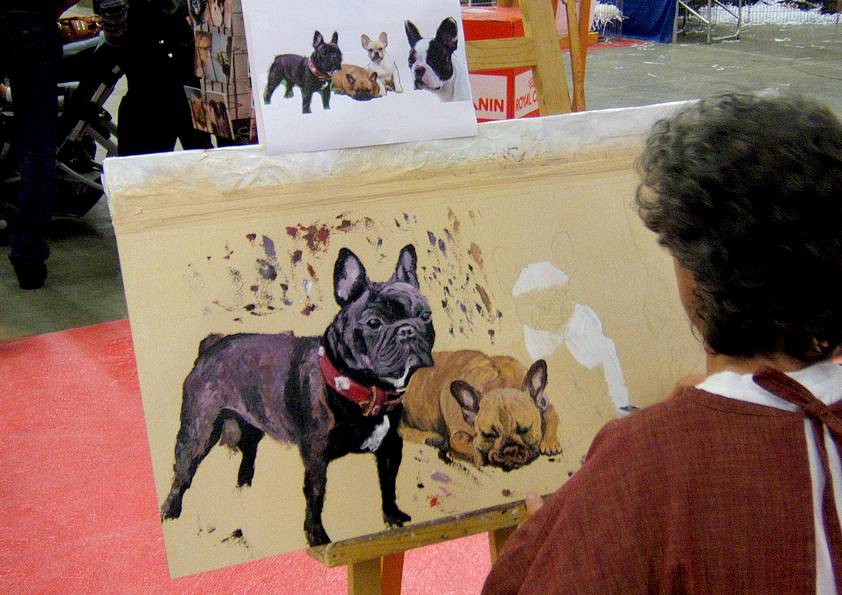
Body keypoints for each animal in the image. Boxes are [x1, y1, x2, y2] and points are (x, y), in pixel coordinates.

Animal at [160, 245, 435, 547]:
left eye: (425, 316)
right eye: (374, 323)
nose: (407, 330)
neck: (365, 388)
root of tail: (212, 344)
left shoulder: (390, 448)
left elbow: (388, 484)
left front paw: (392, 515)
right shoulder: (316, 457)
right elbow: (316, 496)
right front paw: (317, 536)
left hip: (251, 425)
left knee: (248, 452)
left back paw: (244, 488)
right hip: (199, 431)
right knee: (183, 472)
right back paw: (170, 512)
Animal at [401, 350, 561, 471]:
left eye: (525, 429)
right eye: (488, 435)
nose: (509, 450)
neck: (500, 384)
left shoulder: (546, 406)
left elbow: (552, 417)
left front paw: (550, 442)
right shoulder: (457, 433)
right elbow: (463, 443)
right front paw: (478, 457)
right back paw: (430, 437)